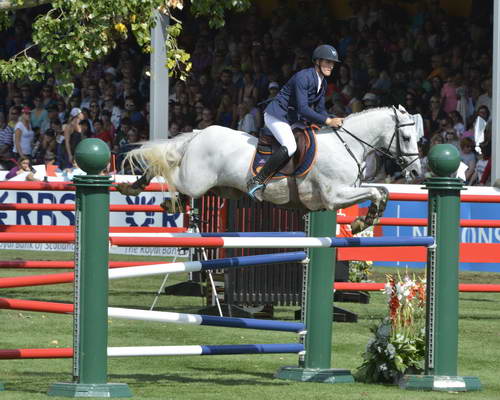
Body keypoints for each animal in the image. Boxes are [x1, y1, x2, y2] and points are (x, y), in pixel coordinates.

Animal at [117, 104, 418, 233]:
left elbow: (381, 191)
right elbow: (377, 193)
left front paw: (365, 220)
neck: (347, 143)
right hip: (195, 179)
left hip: (217, 187)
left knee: (174, 179)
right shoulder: (334, 196)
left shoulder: (347, 191)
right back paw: (133, 187)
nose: (415, 173)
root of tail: (198, 134)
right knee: (166, 170)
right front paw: (362, 222)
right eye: (406, 137)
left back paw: (158, 197)